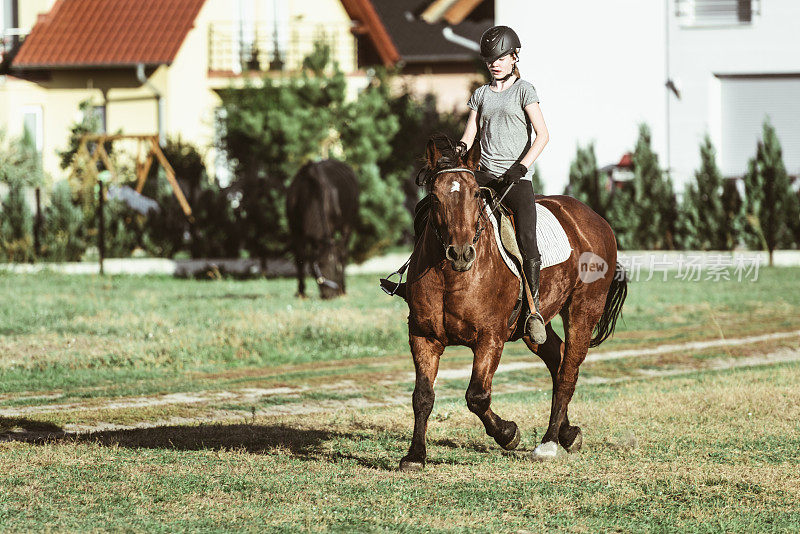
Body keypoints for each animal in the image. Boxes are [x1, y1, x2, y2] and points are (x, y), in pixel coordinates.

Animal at [286, 159, 358, 302]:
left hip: (348, 224)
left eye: (336, 268)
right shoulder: (295, 229)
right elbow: (300, 258)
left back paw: (344, 289)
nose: (331, 295)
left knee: (344, 252)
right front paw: (301, 291)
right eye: (320, 265)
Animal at [396, 138, 628, 474]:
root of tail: (596, 220)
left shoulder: (490, 337)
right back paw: (567, 433)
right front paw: (414, 456)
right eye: (435, 197)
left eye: (476, 193)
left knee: (568, 372)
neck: (450, 275)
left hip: (584, 310)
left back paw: (549, 442)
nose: (461, 253)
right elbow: (422, 396)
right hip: (534, 327)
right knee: (556, 357)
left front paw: (508, 433)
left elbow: (477, 396)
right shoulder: (423, 336)